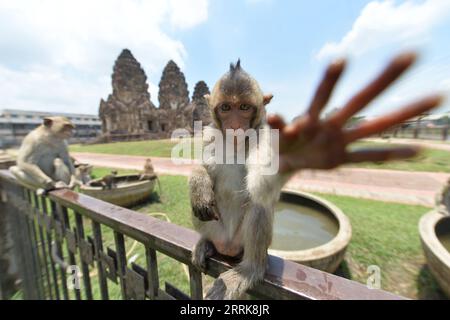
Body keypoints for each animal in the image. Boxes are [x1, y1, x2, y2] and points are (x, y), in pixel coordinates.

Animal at [189, 53, 442, 300]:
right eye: (225, 107)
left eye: (243, 107)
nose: (234, 125)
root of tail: (228, 248)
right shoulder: (210, 133)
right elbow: (203, 167)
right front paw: (199, 183)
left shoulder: (265, 137)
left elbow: (261, 187)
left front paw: (302, 150)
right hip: (216, 229)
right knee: (201, 211)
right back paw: (206, 242)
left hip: (243, 244)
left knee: (259, 207)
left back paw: (250, 269)